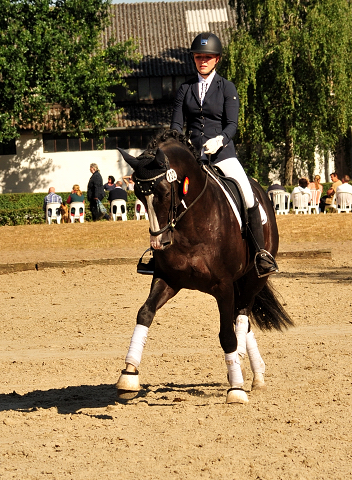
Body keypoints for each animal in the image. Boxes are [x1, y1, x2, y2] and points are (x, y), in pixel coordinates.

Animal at [117, 129, 292, 404]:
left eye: (165, 192)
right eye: (139, 194)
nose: (159, 243)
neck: (191, 223)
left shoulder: (223, 286)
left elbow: (227, 334)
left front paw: (236, 389)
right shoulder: (167, 279)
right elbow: (144, 313)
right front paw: (128, 375)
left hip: (254, 279)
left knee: (242, 316)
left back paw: (244, 366)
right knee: (243, 320)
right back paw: (255, 373)